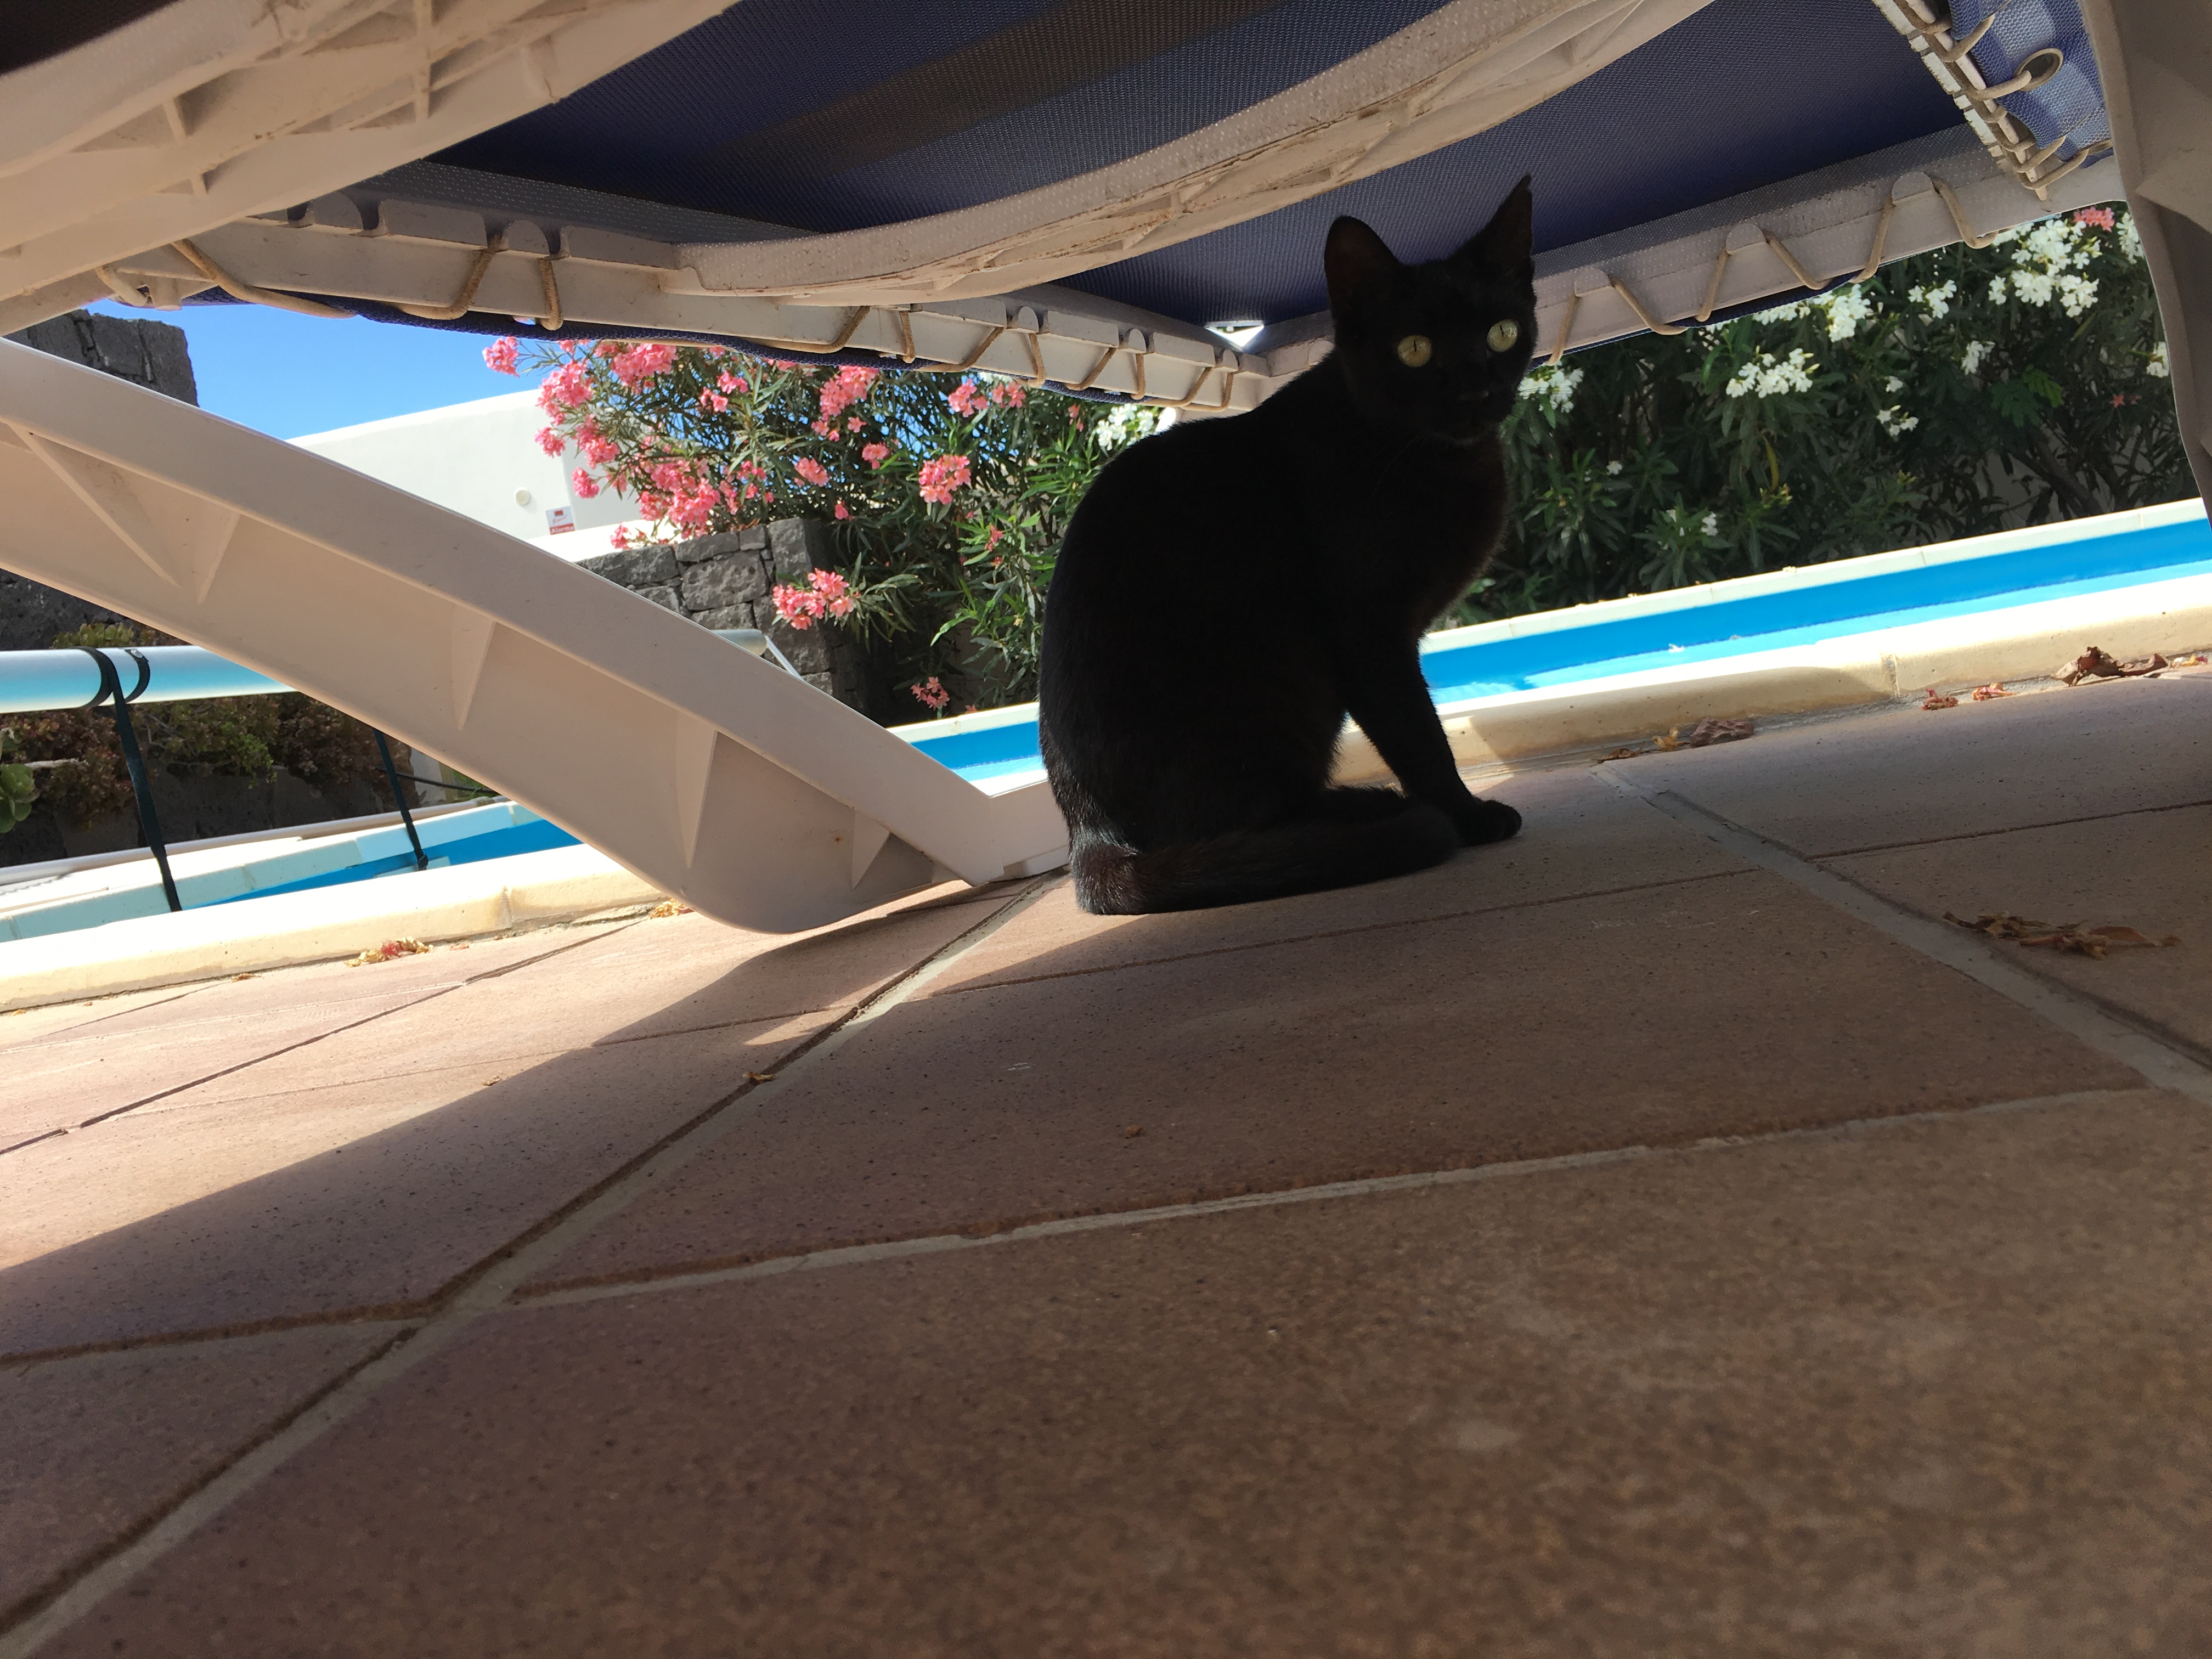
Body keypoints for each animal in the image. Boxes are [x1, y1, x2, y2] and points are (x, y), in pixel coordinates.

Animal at [1037, 179, 1538, 916]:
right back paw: (1372, 810)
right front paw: (1469, 816)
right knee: (1254, 818)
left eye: (1502, 334)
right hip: (1279, 681)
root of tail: (1087, 836)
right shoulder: (1368, 634)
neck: (1436, 459)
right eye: (1414, 349)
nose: (1478, 391)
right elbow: (1421, 737)